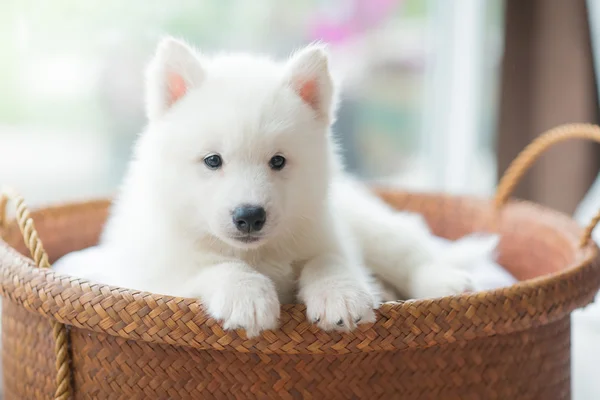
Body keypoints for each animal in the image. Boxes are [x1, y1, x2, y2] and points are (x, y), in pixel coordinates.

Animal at [55, 37, 496, 338]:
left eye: (278, 161)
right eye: (212, 160)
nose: (249, 216)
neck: (260, 253)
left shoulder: (327, 231)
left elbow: (329, 258)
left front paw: (341, 295)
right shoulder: (155, 273)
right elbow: (214, 265)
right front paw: (248, 297)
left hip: (370, 225)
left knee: (411, 248)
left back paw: (445, 281)